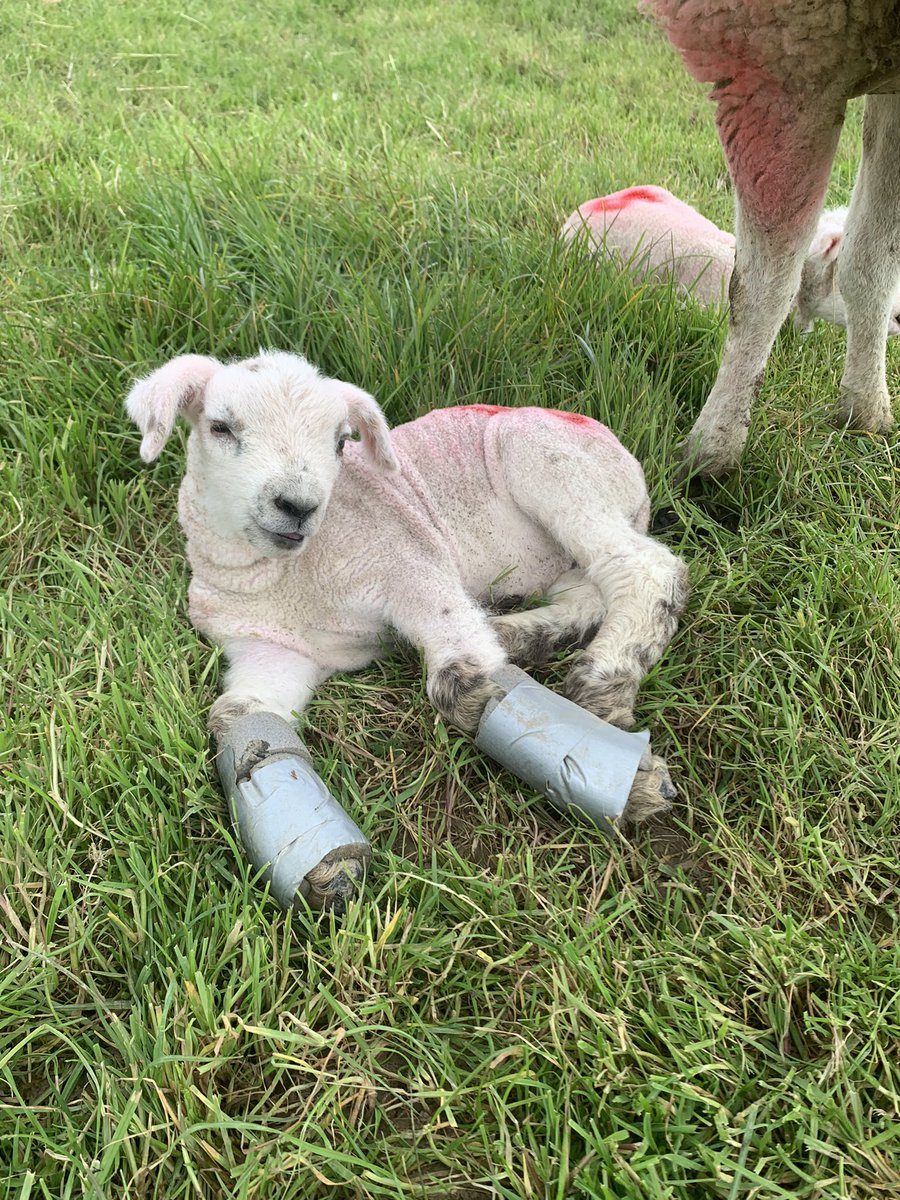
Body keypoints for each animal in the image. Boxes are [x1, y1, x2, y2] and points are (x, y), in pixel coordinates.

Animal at [127, 348, 691, 825]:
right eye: (220, 427)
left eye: (340, 442)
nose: (298, 505)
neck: (284, 578)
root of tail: (631, 468)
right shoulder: (271, 650)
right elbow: (236, 716)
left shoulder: (406, 562)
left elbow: (461, 680)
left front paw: (631, 781)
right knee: (588, 594)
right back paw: (520, 635)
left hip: (552, 463)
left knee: (644, 568)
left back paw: (602, 687)